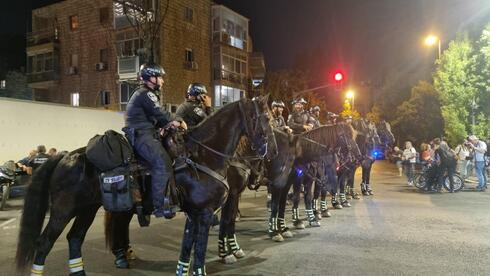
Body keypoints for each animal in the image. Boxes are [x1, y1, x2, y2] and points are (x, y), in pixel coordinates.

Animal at [15, 95, 278, 276]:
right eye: (266, 118)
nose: (273, 151)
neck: (203, 154)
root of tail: (65, 156)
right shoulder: (205, 212)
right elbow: (206, 242)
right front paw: (227, 254)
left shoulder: (196, 213)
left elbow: (189, 246)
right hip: (63, 211)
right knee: (45, 243)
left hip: (87, 209)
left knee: (75, 239)